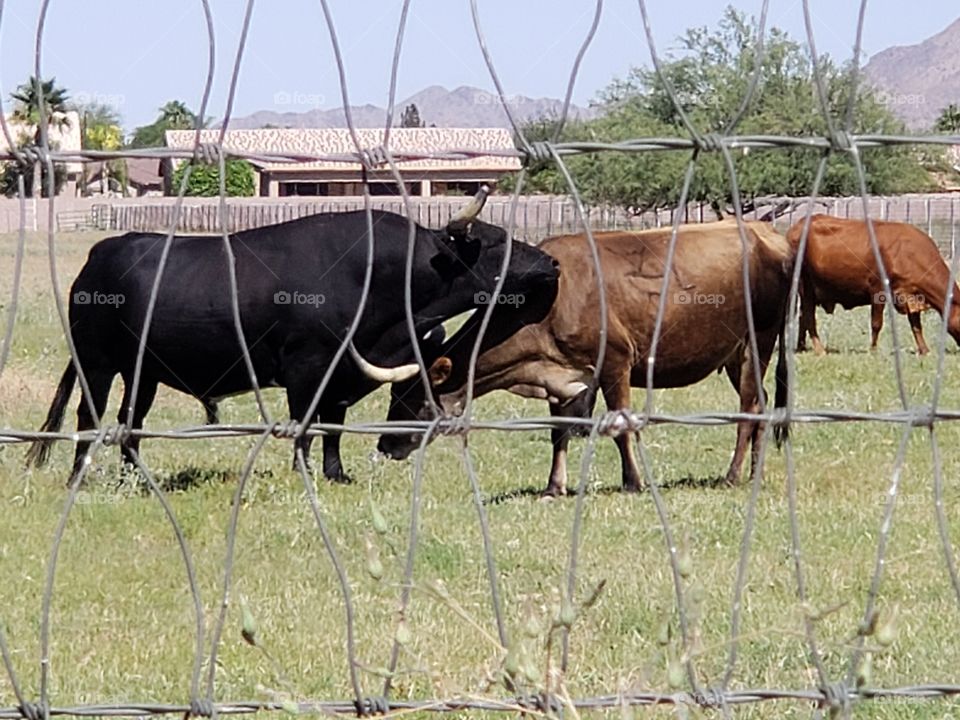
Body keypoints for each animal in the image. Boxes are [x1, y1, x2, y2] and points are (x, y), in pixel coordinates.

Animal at [26, 201, 560, 484]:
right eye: (497, 243)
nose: (552, 264)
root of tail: (100, 253)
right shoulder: (307, 366)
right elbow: (305, 423)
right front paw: (305, 473)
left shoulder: (342, 372)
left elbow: (333, 425)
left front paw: (336, 473)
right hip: (96, 362)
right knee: (90, 415)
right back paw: (79, 476)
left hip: (145, 372)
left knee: (130, 420)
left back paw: (138, 477)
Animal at [378, 221, 792, 496]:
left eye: (414, 399)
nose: (385, 445)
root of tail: (766, 231)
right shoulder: (558, 378)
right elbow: (558, 431)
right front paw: (554, 486)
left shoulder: (616, 363)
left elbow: (621, 427)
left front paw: (632, 482)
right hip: (735, 354)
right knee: (761, 406)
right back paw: (753, 472)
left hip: (758, 341)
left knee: (750, 408)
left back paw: (733, 475)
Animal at [788, 217, 960, 358]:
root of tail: (796, 227)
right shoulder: (878, 289)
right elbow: (876, 323)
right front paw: (873, 350)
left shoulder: (909, 294)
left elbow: (916, 325)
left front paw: (924, 350)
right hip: (806, 285)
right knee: (809, 316)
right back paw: (819, 349)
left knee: (803, 317)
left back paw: (801, 346)